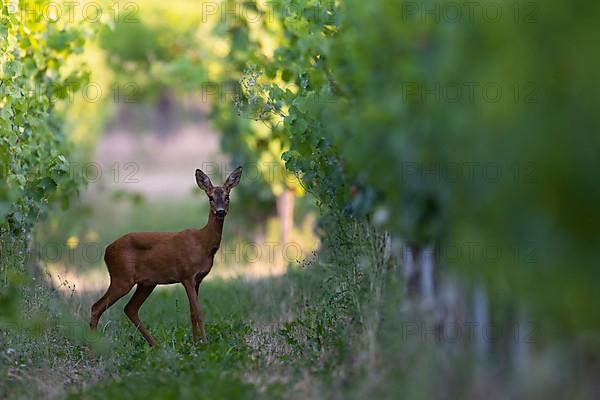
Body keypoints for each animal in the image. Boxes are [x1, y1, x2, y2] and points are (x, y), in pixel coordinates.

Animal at [88, 166, 241, 346]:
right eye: (210, 198)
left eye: (227, 196)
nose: (220, 212)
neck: (203, 243)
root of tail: (107, 250)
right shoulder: (186, 275)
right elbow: (198, 312)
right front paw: (204, 343)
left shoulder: (198, 279)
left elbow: (192, 313)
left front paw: (195, 344)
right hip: (122, 278)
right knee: (96, 307)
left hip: (146, 283)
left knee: (130, 308)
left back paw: (155, 345)